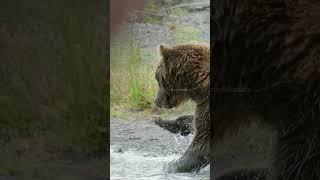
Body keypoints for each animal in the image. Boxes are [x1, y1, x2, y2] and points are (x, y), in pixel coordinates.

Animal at [154, 42, 211, 173]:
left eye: (156, 78)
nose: (156, 101)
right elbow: (191, 121)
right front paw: (160, 120)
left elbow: (202, 143)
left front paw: (170, 166)